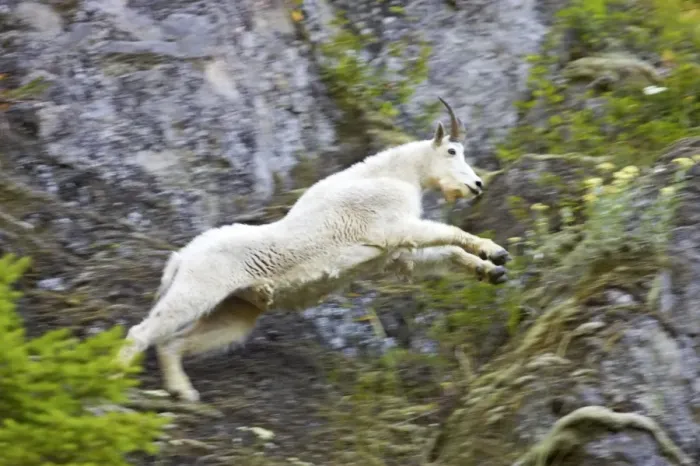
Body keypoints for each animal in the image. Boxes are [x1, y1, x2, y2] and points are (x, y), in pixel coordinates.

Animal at [117, 97, 512, 402]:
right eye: (452, 150)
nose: (477, 185)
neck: (395, 176)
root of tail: (181, 258)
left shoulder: (391, 255)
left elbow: (442, 255)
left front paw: (493, 270)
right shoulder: (391, 227)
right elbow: (449, 233)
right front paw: (494, 250)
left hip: (235, 311)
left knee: (173, 344)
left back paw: (184, 393)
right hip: (197, 291)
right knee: (143, 333)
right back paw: (114, 378)